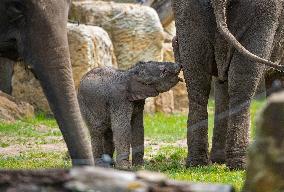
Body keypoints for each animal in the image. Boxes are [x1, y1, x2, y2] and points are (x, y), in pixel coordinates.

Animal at [172, 0, 282, 168]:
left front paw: (218, 159)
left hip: (186, 13)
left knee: (197, 82)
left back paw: (197, 163)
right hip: (264, 13)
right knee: (242, 85)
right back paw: (240, 164)